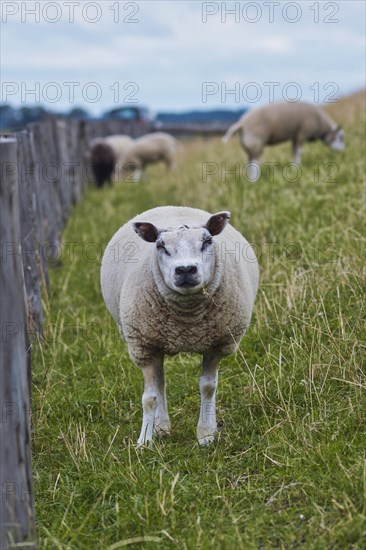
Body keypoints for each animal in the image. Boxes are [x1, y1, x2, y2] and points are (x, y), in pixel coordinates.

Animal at [100, 207, 258, 448]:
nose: (185, 269)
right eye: (160, 246)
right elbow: (150, 397)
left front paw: (206, 433)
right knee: (160, 384)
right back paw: (161, 427)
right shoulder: (145, 348)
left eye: (207, 241)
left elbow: (208, 387)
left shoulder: (216, 345)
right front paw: (144, 441)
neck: (187, 321)